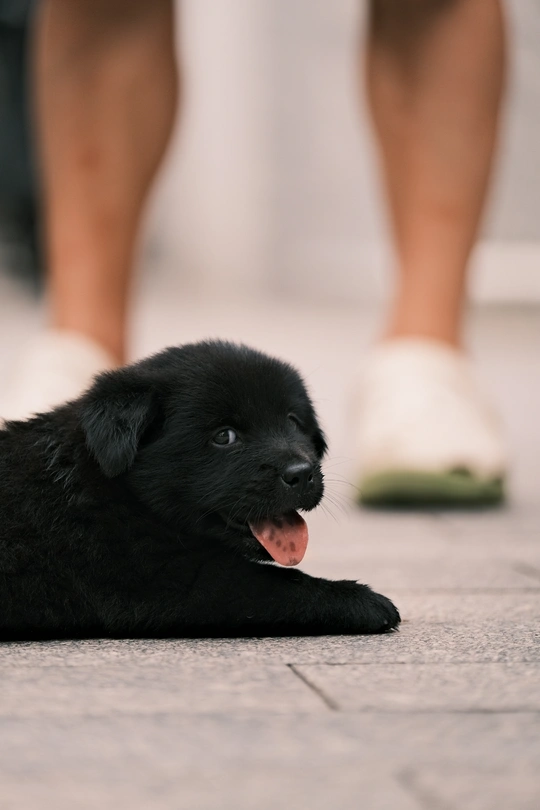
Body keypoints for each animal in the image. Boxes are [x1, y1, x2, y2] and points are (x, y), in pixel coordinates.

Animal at [0, 340, 400, 639]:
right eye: (224, 436)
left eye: (293, 422)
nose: (302, 474)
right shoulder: (171, 584)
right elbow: (279, 585)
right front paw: (360, 600)